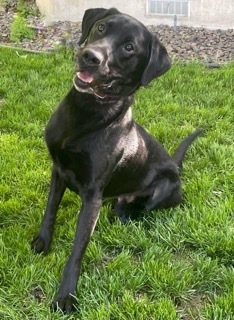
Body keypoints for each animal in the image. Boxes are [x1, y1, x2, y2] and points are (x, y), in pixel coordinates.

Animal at [32, 6, 202, 312]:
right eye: (101, 28)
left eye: (129, 48)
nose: (90, 57)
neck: (86, 113)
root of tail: (174, 164)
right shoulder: (58, 170)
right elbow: (50, 210)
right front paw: (43, 241)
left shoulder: (92, 196)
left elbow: (77, 250)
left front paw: (66, 295)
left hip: (164, 189)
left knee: (140, 209)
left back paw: (125, 214)